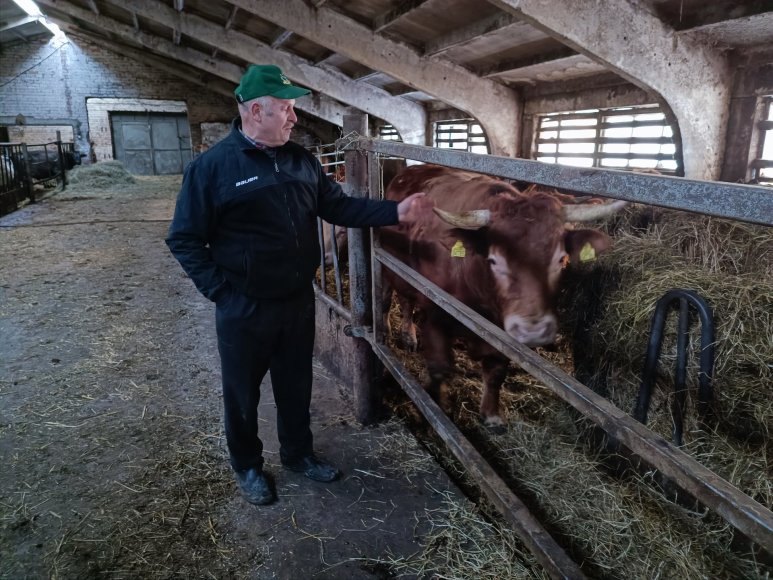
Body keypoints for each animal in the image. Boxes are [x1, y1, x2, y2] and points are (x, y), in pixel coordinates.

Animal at [376, 163, 624, 426]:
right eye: (494, 260)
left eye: (561, 259)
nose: (533, 331)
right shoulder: (434, 313)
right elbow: (439, 367)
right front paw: (435, 410)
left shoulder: (501, 333)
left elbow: (496, 372)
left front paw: (492, 415)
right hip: (388, 271)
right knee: (390, 300)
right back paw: (396, 332)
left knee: (406, 301)